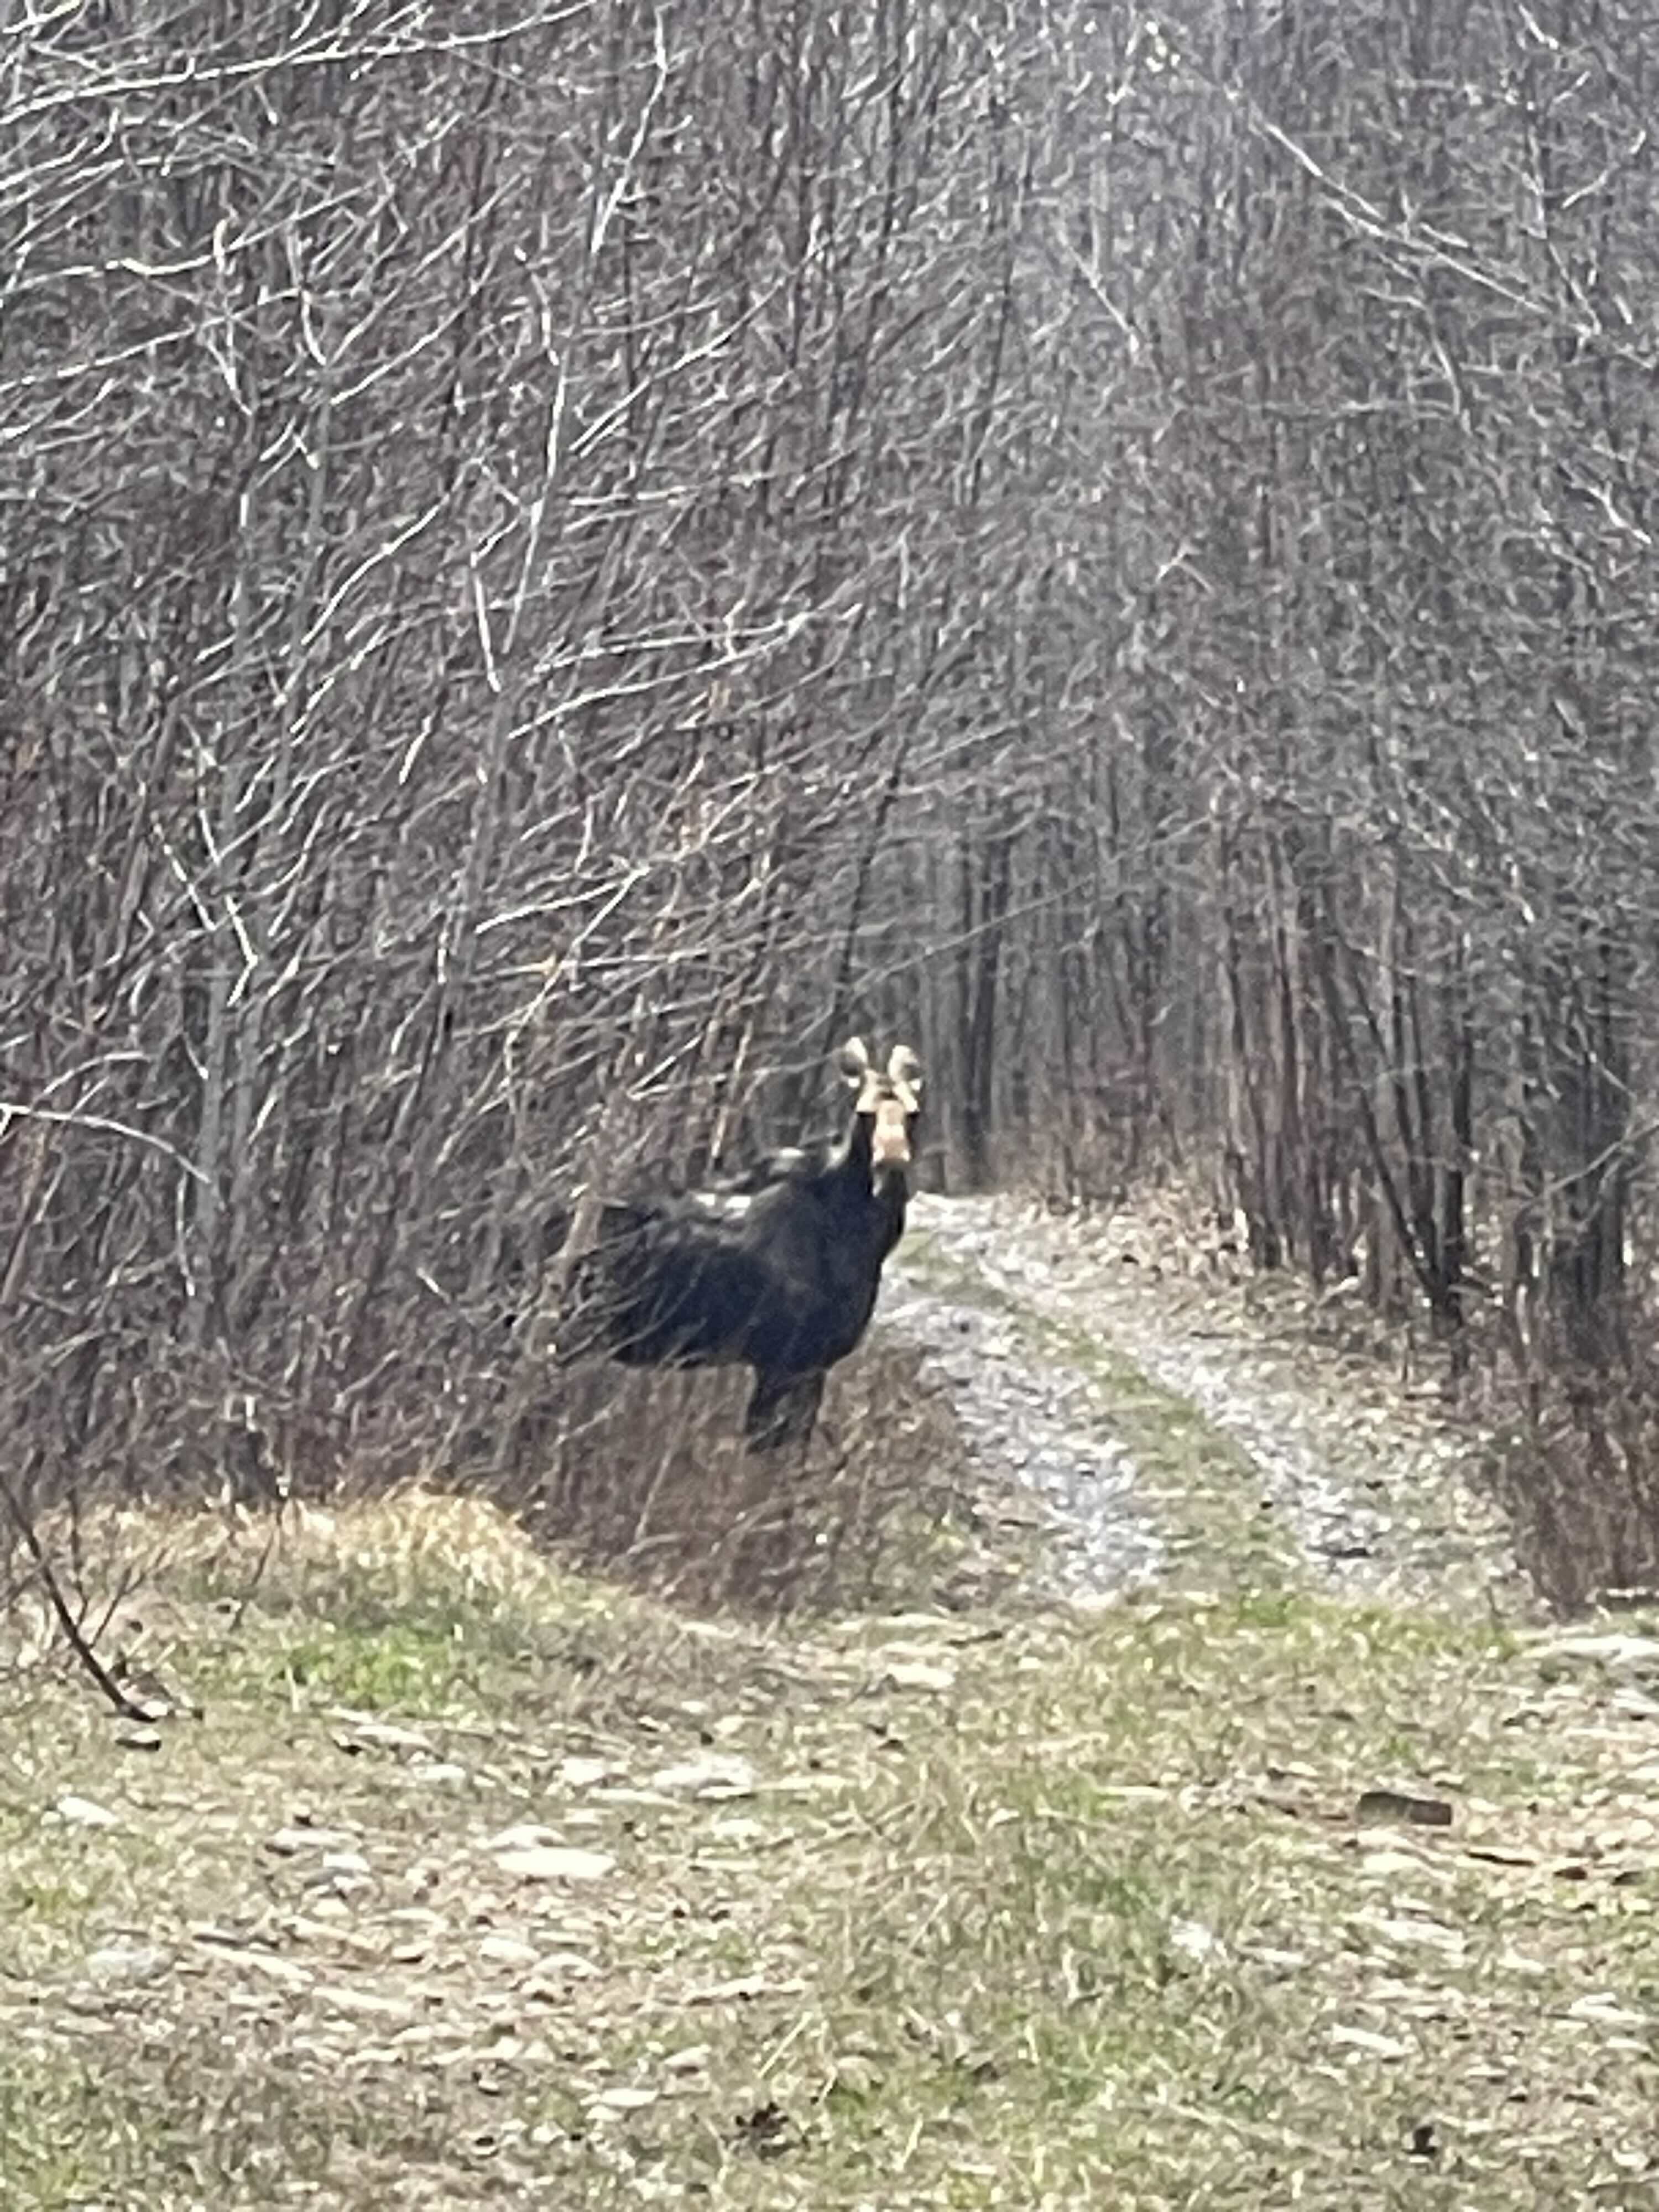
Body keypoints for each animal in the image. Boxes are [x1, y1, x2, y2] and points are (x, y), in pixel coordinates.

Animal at [556, 1039, 923, 1450]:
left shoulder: (811, 1362)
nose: (892, 1159)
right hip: (577, 1332)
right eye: (864, 1113)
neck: (864, 1239)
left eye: (913, 1113)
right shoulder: (783, 1359)